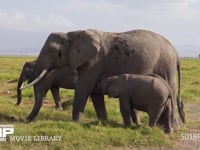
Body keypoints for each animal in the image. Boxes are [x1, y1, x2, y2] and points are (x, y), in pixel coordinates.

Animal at [23, 29, 184, 129]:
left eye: (52, 51)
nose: (25, 121)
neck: (71, 33)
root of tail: (176, 52)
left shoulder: (93, 62)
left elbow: (84, 88)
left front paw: (75, 123)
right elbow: (94, 92)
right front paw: (103, 122)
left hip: (166, 64)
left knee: (171, 88)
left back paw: (170, 128)